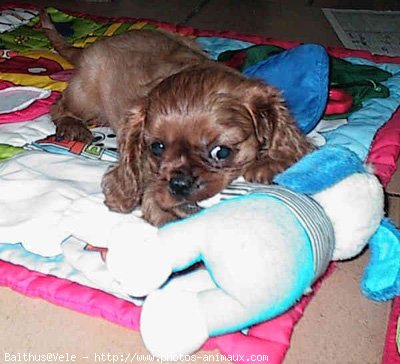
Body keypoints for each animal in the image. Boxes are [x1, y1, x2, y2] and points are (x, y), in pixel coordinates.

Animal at [41, 10, 316, 225]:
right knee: (59, 106)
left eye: (221, 152)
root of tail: (91, 46)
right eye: (157, 148)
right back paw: (72, 126)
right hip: (84, 96)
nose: (179, 184)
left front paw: (269, 161)